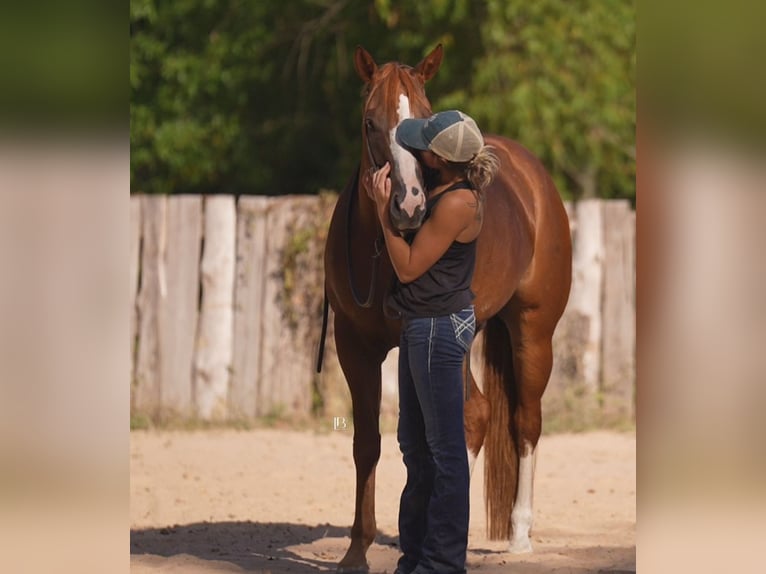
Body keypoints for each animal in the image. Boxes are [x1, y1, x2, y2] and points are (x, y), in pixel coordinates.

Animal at [321, 45, 572, 572]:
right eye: (370, 122)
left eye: (424, 115)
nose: (409, 206)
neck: (380, 250)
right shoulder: (355, 348)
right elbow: (366, 443)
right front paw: (356, 550)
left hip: (532, 333)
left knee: (517, 421)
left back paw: (519, 533)